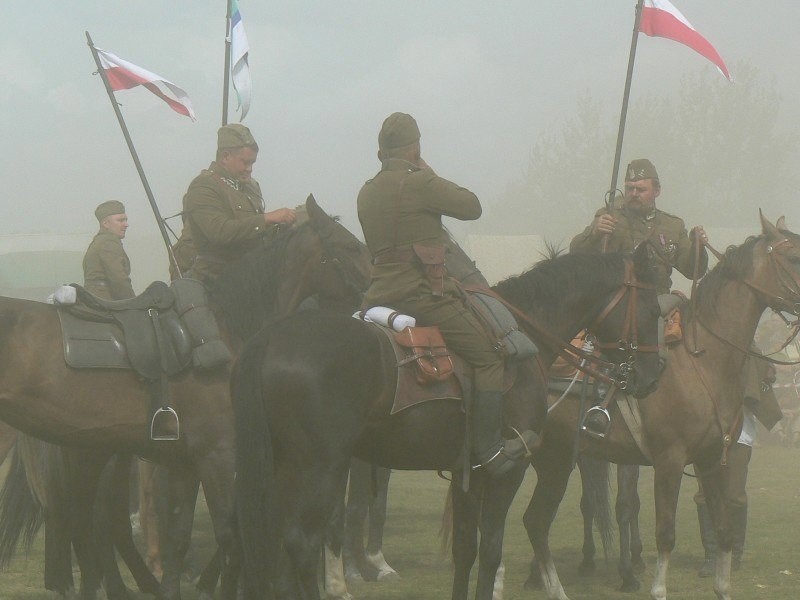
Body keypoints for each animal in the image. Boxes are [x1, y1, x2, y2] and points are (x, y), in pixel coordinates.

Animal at [0, 195, 370, 596]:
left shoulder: (183, 462)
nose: (369, 295)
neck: (228, 329)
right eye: (351, 246)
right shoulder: (220, 454)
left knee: (87, 526)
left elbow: (178, 535)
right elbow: (231, 537)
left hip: (88, 454)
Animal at [231, 244, 664, 600]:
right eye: (653, 308)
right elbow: (490, 550)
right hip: (320, 469)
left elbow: (465, 549)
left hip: (285, 469)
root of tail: (268, 338)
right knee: (302, 545)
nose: (651, 377)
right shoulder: (508, 471)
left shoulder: (466, 471)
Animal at [524, 214, 800, 600]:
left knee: (539, 520)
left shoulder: (712, 459)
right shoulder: (669, 462)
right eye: (792, 257)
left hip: (557, 458)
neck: (702, 361)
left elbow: (724, 529)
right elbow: (665, 534)